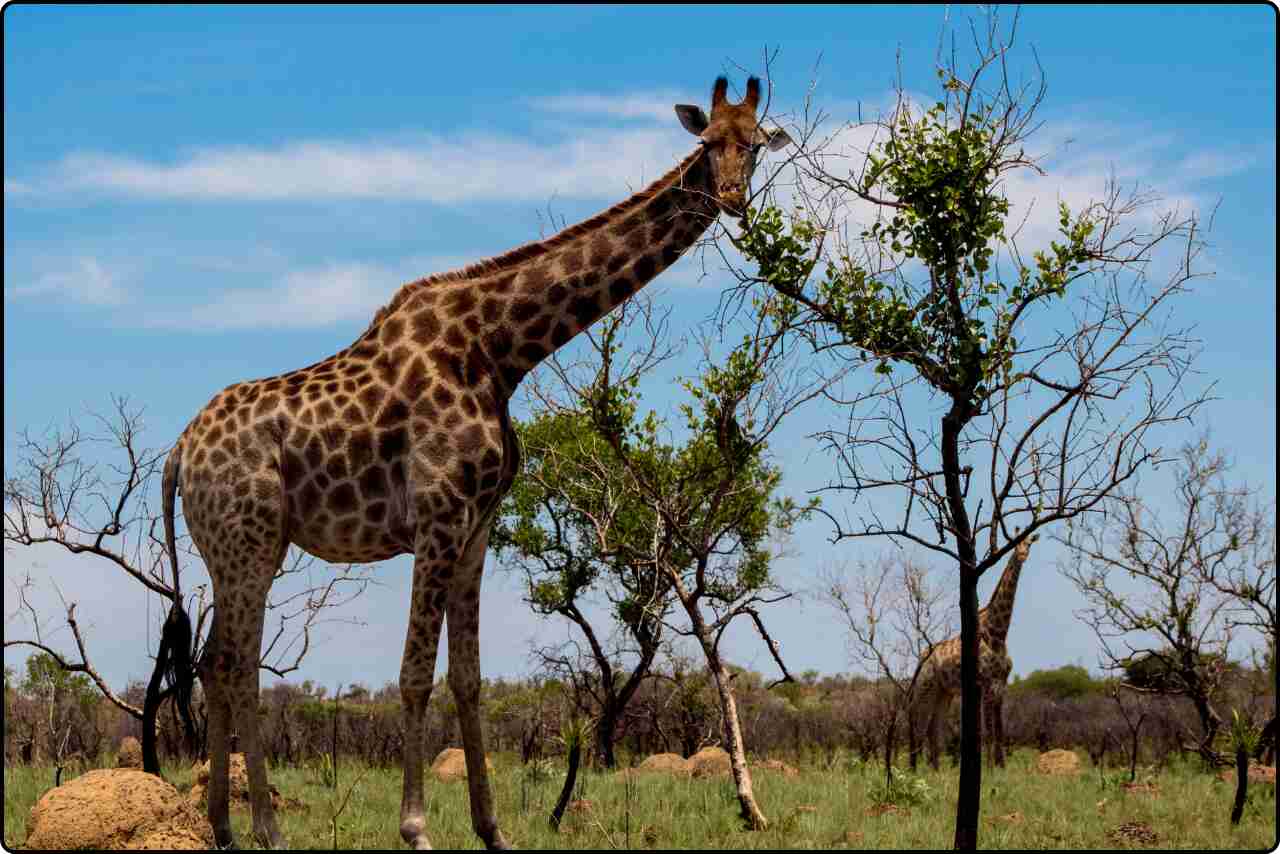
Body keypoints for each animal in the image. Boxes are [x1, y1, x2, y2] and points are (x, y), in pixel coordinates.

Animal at [160, 76, 788, 850]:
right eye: (707, 143)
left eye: (754, 145)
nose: (731, 197)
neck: (502, 351)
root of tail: (179, 451)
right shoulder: (436, 517)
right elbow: (414, 675)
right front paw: (416, 829)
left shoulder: (477, 525)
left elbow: (468, 678)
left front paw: (492, 830)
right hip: (249, 541)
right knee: (239, 664)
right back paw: (267, 831)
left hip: (237, 547)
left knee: (214, 663)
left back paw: (221, 826)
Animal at [916, 535, 1034, 768]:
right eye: (1016, 544)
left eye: (1030, 544)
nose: (1023, 555)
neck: (997, 633)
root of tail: (922, 656)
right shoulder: (986, 684)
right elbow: (987, 733)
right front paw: (989, 769)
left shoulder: (1000, 685)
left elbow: (999, 731)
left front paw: (1001, 768)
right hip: (927, 687)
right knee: (920, 726)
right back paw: (913, 770)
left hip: (944, 692)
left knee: (934, 729)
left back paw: (935, 770)